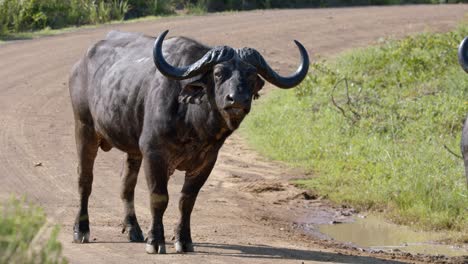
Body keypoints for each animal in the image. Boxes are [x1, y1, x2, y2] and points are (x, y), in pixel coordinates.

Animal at [69, 30, 308, 254]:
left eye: (251, 75)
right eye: (218, 73)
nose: (237, 100)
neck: (193, 123)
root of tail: (80, 65)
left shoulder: (206, 161)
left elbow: (187, 201)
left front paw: (183, 240)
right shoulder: (154, 154)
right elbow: (159, 197)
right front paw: (155, 241)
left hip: (132, 150)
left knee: (126, 184)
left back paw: (133, 229)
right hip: (84, 128)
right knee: (84, 179)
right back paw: (81, 230)